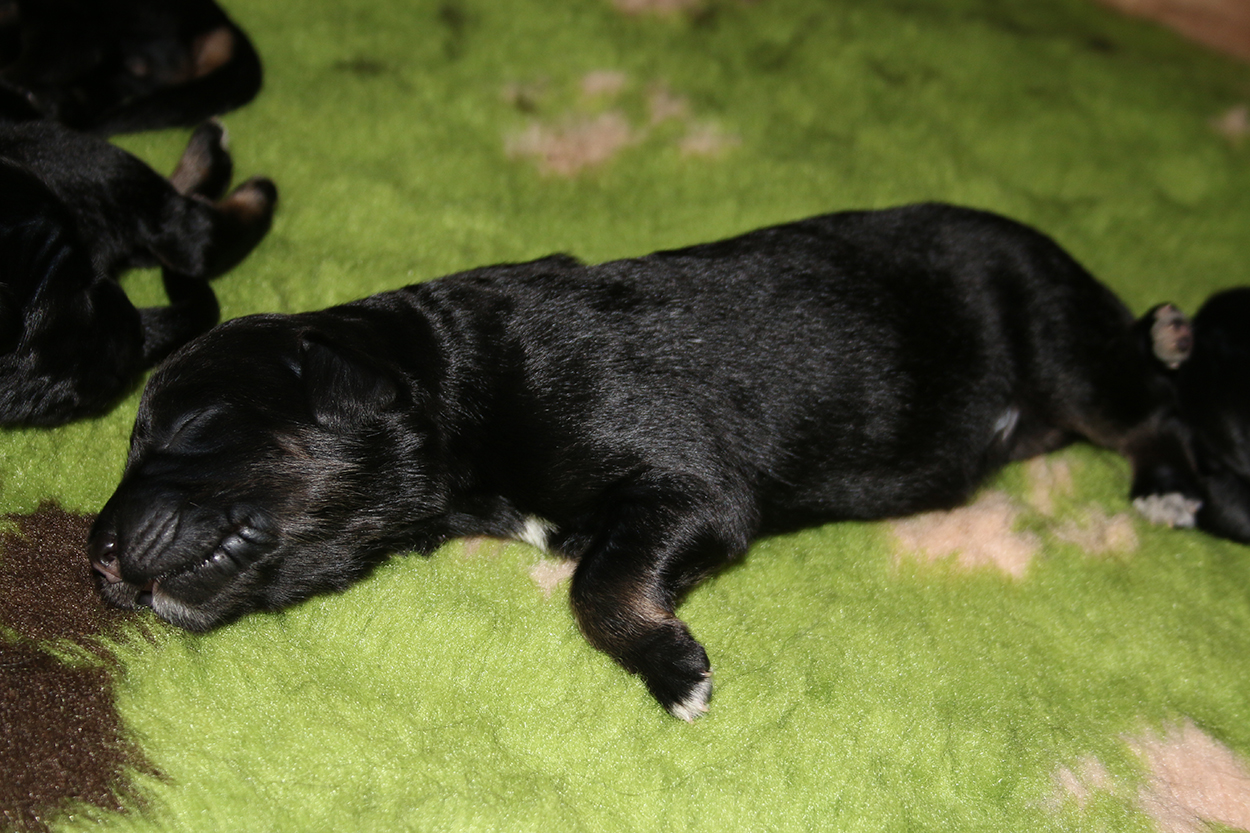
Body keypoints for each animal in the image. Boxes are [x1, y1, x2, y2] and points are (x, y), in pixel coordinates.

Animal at [88, 203, 1249, 720]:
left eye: (186, 425)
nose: (93, 555)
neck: (457, 379)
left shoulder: (688, 485)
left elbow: (597, 583)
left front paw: (670, 665)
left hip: (1059, 345)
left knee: (1153, 400)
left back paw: (1165, 476)